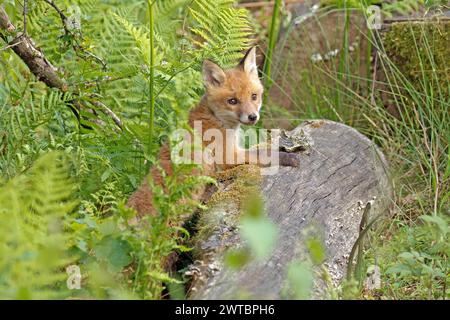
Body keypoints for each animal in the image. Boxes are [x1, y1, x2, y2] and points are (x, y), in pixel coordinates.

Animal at [126, 47, 298, 216]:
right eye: (232, 101)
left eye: (254, 96)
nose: (252, 117)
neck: (216, 118)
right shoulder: (227, 157)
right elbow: (261, 153)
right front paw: (287, 156)